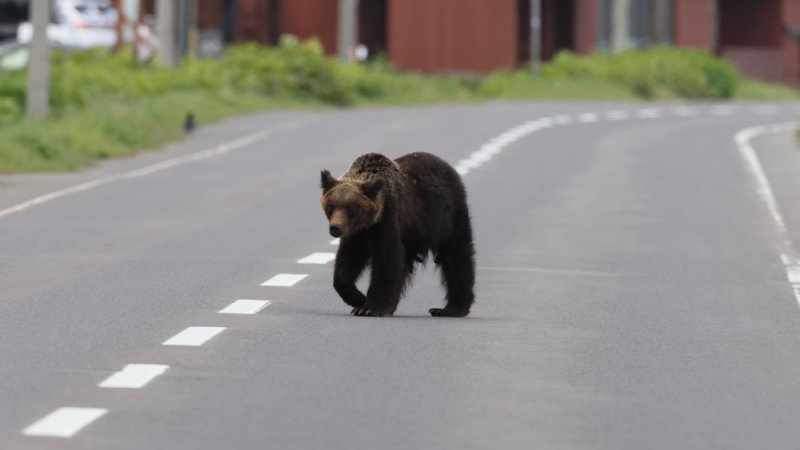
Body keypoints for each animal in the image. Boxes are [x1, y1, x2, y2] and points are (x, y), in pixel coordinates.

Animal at [319, 152, 476, 317]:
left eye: (350, 207)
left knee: (457, 257)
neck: (368, 223)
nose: (335, 228)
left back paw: (451, 308)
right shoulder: (357, 233)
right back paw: (391, 306)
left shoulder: (388, 218)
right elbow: (348, 260)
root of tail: (447, 165)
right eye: (331, 205)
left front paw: (369, 307)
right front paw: (358, 299)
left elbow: (387, 259)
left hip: (448, 218)